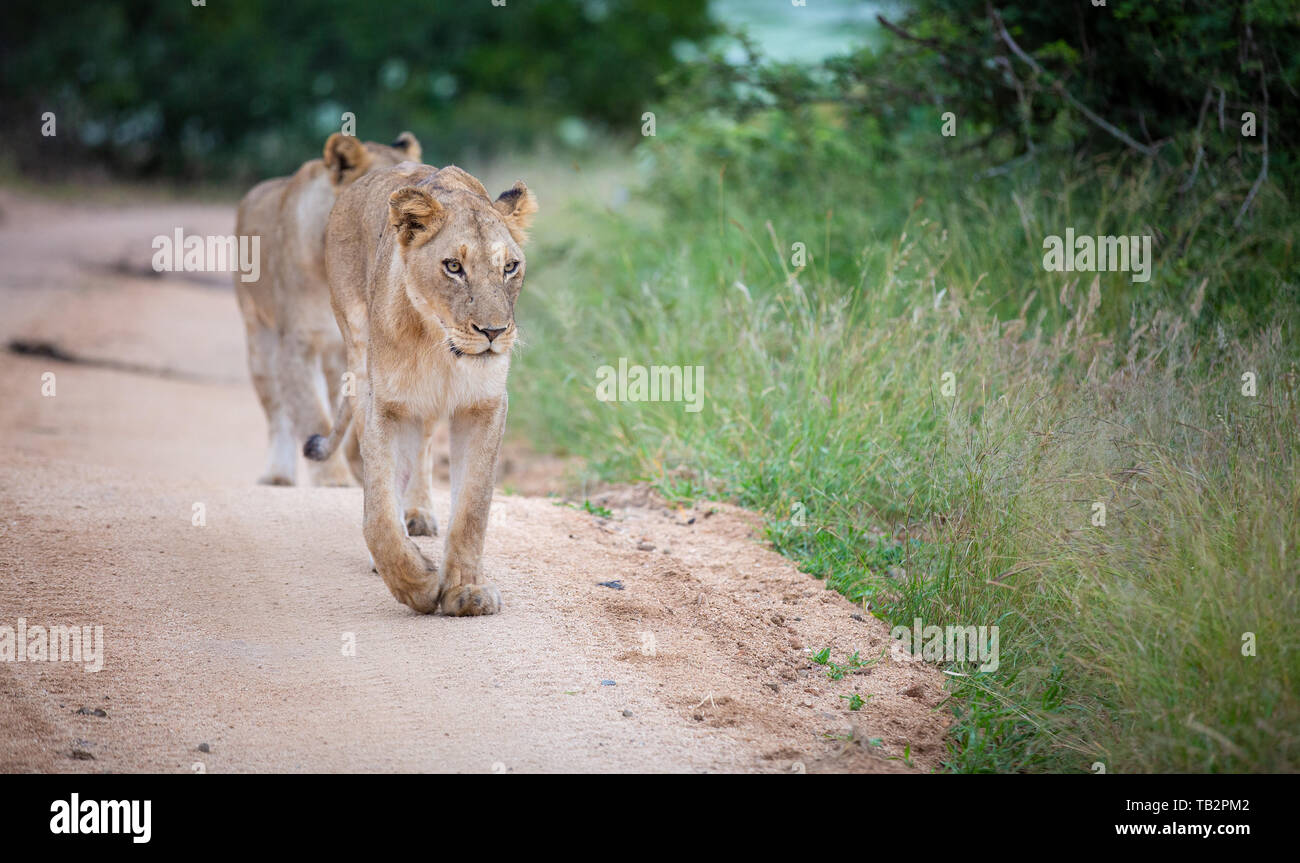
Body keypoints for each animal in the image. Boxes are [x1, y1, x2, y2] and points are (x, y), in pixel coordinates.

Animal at [231, 128, 418, 491]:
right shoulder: (297, 344)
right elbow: (313, 414)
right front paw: (334, 480)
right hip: (258, 337)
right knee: (278, 411)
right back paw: (278, 473)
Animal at [306, 161, 535, 616]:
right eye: (453, 267)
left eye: (509, 267)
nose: (493, 332)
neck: (440, 348)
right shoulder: (386, 403)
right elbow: (377, 513)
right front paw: (418, 583)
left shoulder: (485, 406)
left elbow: (472, 509)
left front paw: (466, 591)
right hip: (359, 356)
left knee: (425, 445)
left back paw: (418, 514)